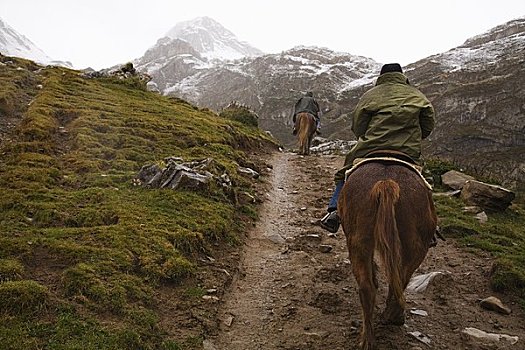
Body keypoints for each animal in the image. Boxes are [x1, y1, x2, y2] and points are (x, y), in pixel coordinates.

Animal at [338, 159, 436, 350]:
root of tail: (386, 184)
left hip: (359, 243)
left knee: (370, 287)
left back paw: (369, 338)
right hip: (415, 248)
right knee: (399, 280)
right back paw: (391, 319)